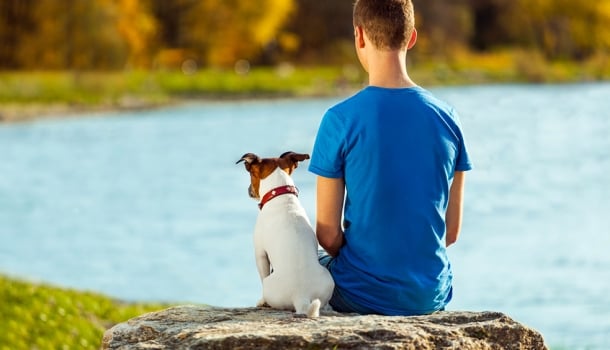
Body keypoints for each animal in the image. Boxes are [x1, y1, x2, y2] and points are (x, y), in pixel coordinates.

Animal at [236, 150, 332, 318]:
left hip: (269, 285)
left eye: (251, 174)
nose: (248, 190)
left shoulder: (260, 254)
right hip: (329, 280)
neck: (281, 195)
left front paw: (261, 302)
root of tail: (301, 296)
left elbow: (262, 272)